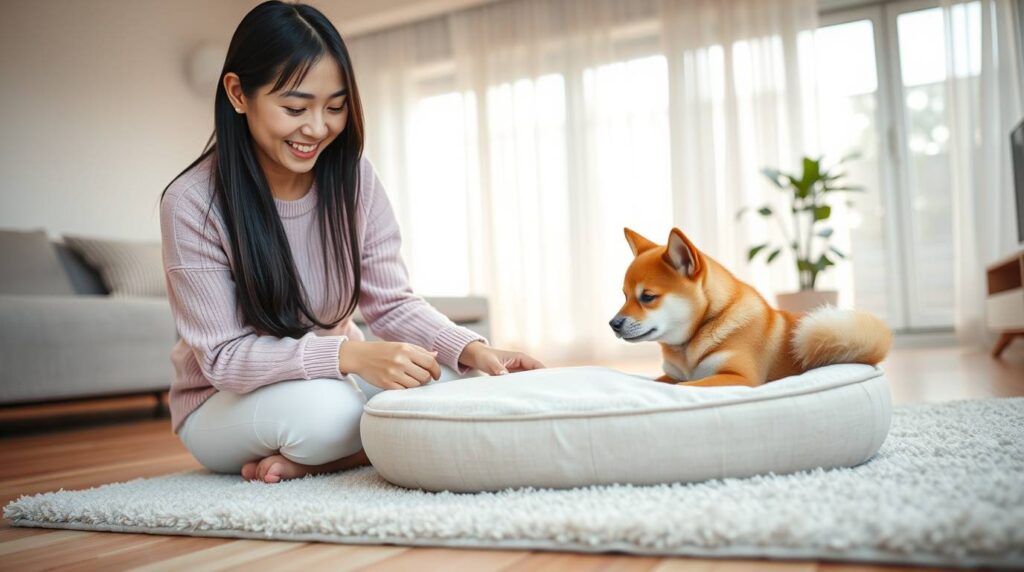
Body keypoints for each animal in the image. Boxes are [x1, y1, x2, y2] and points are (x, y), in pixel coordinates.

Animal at [610, 228, 892, 388]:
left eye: (647, 297)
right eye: (624, 296)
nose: (613, 323)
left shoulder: (739, 377)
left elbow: (683, 388)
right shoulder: (675, 375)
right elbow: (663, 383)